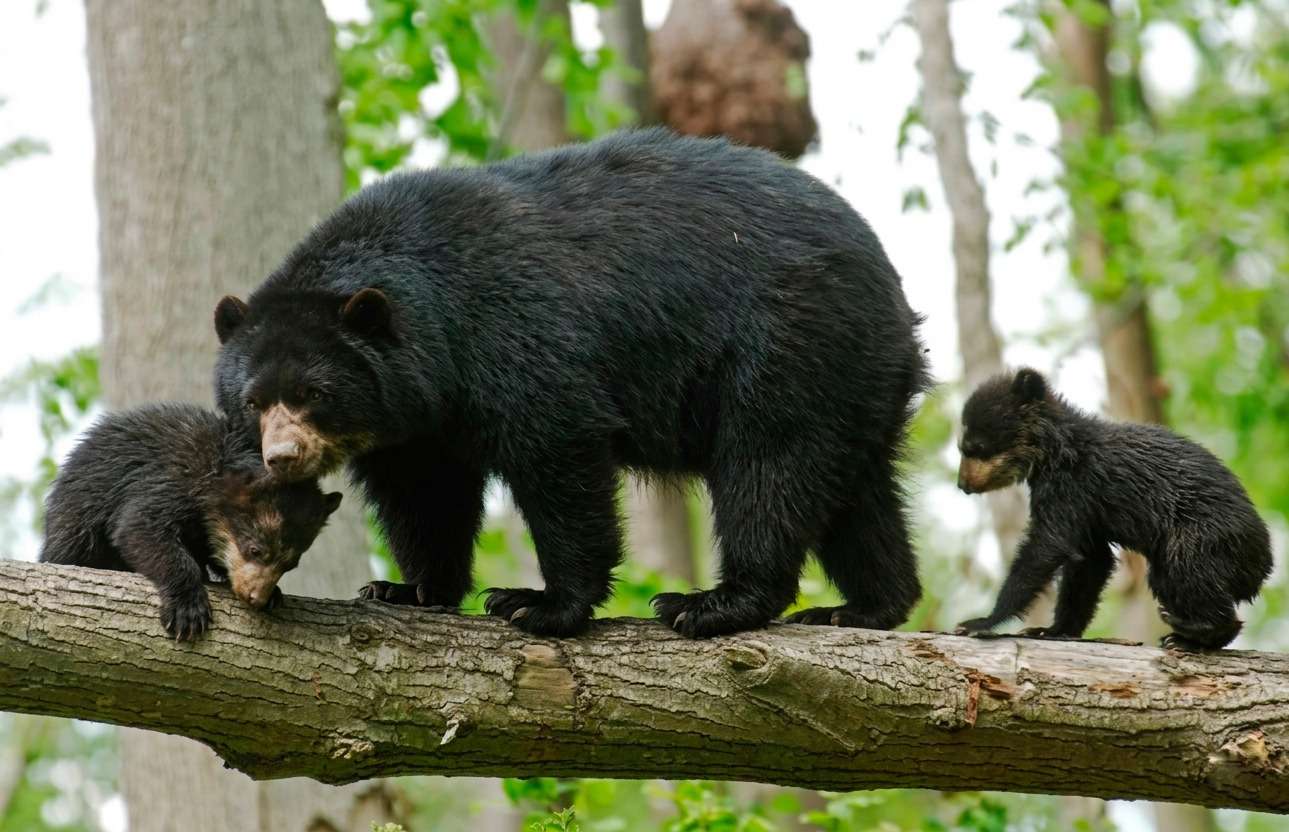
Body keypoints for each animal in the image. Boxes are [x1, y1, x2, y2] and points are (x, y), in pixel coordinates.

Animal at [40, 403, 343, 641]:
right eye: (255, 549)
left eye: (290, 564)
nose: (255, 598)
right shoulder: (172, 478)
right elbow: (139, 528)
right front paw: (188, 611)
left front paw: (275, 594)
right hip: (76, 520)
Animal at [212, 127, 930, 638]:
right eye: (253, 401)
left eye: (313, 394)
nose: (282, 458)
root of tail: (890, 283)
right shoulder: (414, 418)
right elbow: (425, 491)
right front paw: (408, 589)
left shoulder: (511, 332)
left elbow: (557, 451)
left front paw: (538, 604)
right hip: (853, 375)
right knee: (856, 492)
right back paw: (865, 607)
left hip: (789, 344)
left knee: (768, 465)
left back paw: (713, 603)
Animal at [953, 368, 1272, 650]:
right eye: (964, 447)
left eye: (974, 447)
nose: (963, 484)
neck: (1052, 452)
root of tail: (1263, 564)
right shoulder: (1086, 512)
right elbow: (1090, 562)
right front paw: (1051, 630)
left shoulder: (1072, 488)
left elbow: (1047, 547)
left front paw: (978, 622)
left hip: (1202, 535)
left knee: (1189, 570)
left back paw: (1189, 629)